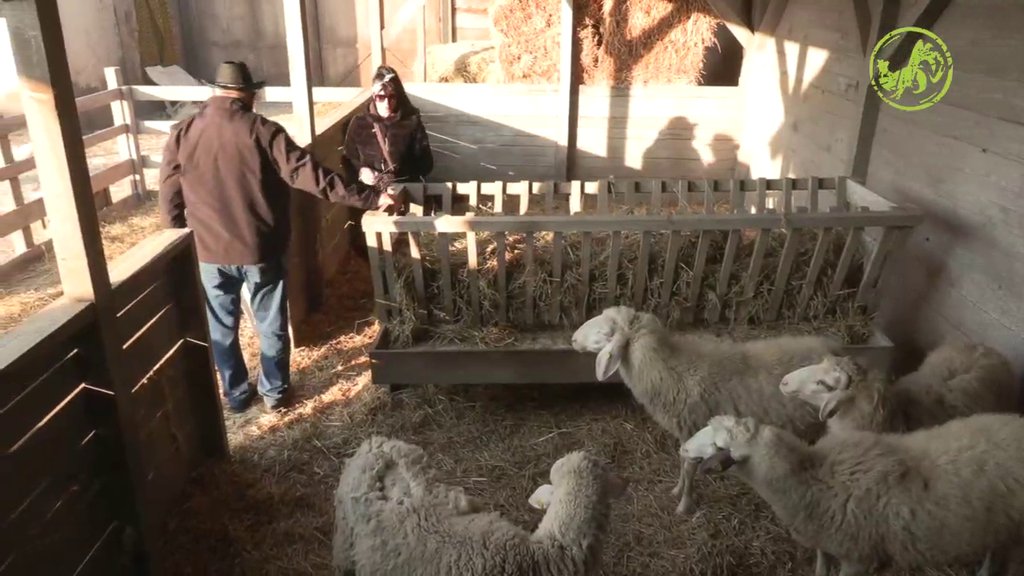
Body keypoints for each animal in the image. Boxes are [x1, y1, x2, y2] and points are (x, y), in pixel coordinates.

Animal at [573, 305, 843, 510]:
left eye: (605, 331)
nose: (574, 339)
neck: (670, 369)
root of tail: (833, 349)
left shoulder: (693, 428)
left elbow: (689, 468)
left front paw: (683, 505)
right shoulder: (686, 434)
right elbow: (682, 463)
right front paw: (677, 490)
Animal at [684, 412, 1024, 573]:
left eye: (717, 445)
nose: (684, 449)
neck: (811, 476)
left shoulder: (858, 555)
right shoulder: (825, 537)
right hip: (999, 525)